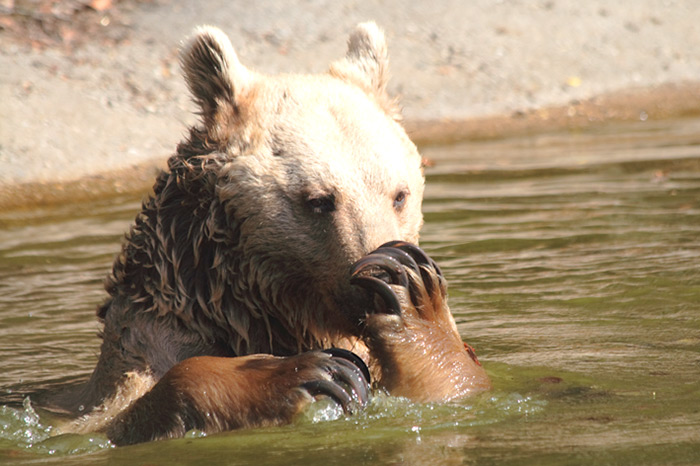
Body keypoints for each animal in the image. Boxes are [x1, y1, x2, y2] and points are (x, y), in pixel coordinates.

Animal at [41, 21, 490, 444]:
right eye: (320, 200)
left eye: (399, 195)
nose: (370, 279)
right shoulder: (147, 343)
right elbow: (111, 417)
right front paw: (309, 372)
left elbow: (461, 384)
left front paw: (411, 293)